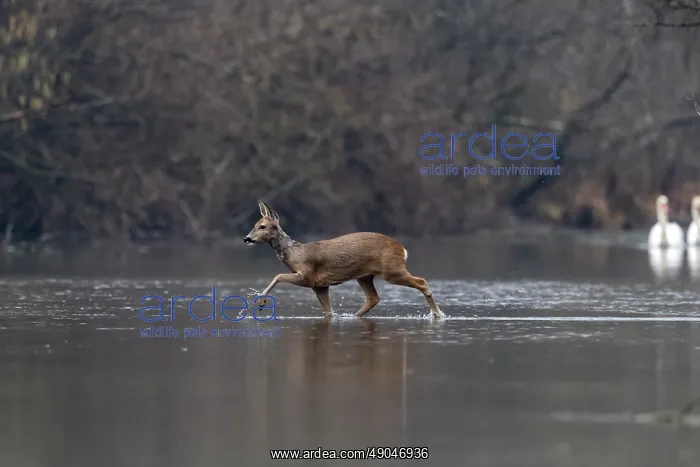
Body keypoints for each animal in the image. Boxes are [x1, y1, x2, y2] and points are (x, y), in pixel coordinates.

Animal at [243, 201, 444, 319]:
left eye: (262, 226)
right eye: (255, 225)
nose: (247, 238)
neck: (294, 253)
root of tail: (402, 249)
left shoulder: (307, 276)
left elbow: (278, 276)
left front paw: (260, 302)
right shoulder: (320, 285)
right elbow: (328, 312)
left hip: (392, 270)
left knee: (422, 281)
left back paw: (437, 314)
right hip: (364, 276)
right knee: (373, 298)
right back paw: (354, 316)